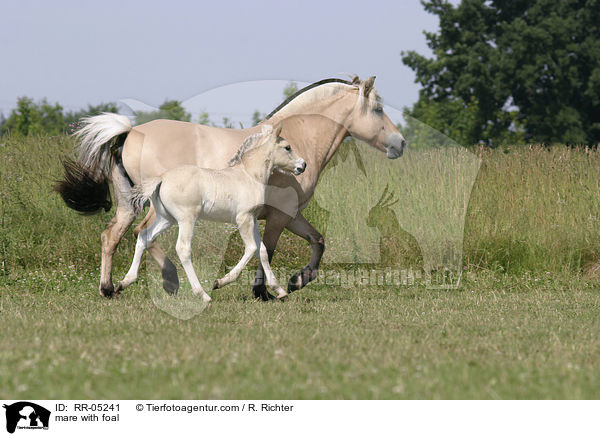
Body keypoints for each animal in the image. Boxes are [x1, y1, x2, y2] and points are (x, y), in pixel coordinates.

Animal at [115, 122, 308, 300]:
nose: (303, 165)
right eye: (287, 147)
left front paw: (280, 291)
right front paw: (220, 282)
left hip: (166, 218)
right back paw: (203, 295)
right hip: (186, 219)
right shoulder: (243, 218)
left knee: (144, 236)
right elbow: (251, 248)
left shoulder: (252, 219)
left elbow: (262, 251)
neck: (249, 175)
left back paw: (123, 283)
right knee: (182, 249)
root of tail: (162, 178)